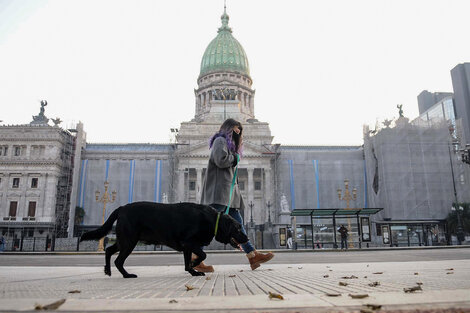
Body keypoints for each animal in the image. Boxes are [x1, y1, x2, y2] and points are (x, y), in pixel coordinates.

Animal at [79, 201, 248, 276]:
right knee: (118, 260)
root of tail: (121, 208)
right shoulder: (189, 242)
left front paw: (192, 271)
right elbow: (202, 254)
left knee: (108, 250)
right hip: (129, 241)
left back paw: (108, 271)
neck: (213, 220)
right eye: (238, 228)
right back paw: (127, 275)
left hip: (124, 240)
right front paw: (194, 265)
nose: (247, 239)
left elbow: (187, 262)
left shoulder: (187, 247)